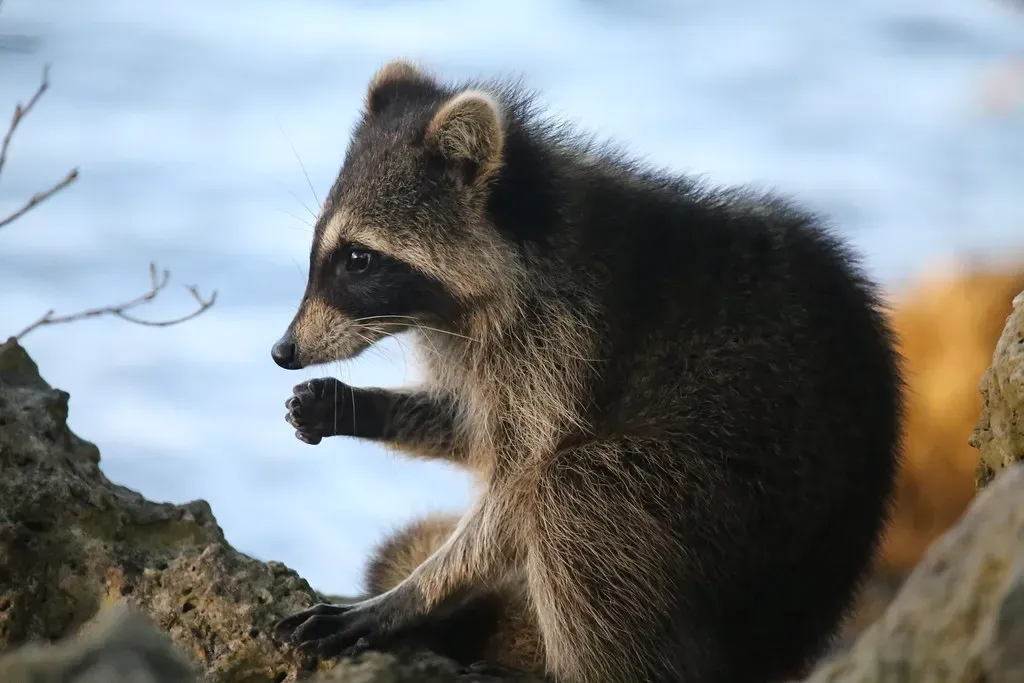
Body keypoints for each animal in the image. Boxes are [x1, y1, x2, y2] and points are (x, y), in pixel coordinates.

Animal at [269, 59, 903, 683]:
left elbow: (518, 493)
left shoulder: (566, 342)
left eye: (357, 259)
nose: (282, 351)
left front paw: (411, 594)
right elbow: (474, 430)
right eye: (321, 252)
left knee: (574, 496)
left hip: (734, 491)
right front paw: (357, 405)